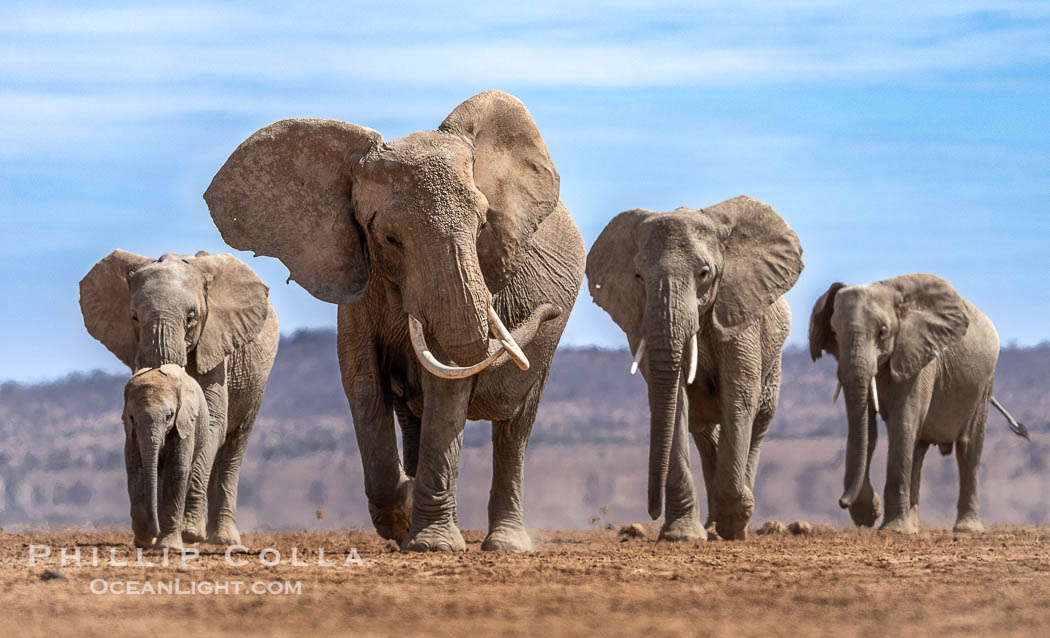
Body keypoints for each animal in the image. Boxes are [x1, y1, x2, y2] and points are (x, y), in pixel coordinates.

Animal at [122, 363, 219, 549]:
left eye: (169, 416)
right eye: (132, 417)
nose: (155, 531)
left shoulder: (185, 424)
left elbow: (177, 470)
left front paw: (168, 546)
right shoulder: (131, 435)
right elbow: (136, 471)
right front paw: (144, 540)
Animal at [203, 90, 583, 554]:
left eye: (482, 225)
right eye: (389, 238)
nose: (548, 309)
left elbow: (446, 381)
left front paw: (433, 545)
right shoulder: (356, 278)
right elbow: (363, 383)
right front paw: (406, 515)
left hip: (546, 350)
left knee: (515, 429)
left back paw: (504, 545)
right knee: (415, 416)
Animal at [588, 197, 797, 541]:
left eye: (704, 273)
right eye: (638, 276)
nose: (652, 511)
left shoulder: (740, 312)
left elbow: (739, 394)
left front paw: (734, 524)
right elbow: (673, 401)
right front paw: (681, 535)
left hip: (774, 362)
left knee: (757, 422)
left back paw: (735, 523)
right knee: (705, 432)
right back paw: (713, 527)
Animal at [806, 274, 1029, 533]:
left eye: (883, 332)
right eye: (834, 332)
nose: (841, 501)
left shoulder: (919, 356)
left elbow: (903, 422)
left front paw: (891, 529)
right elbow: (867, 428)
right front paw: (871, 514)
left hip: (985, 382)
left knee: (968, 446)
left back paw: (966, 529)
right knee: (918, 448)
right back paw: (913, 526)